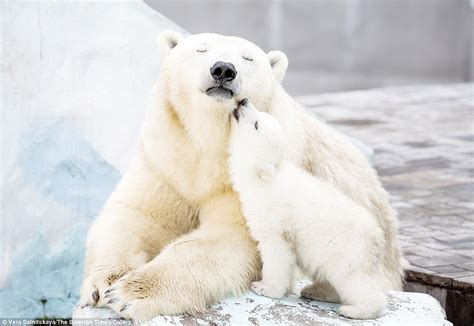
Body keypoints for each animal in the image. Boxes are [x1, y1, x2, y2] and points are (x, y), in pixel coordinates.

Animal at [78, 30, 404, 320]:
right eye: (201, 49)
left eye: (248, 58)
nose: (223, 69)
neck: (208, 146)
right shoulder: (165, 159)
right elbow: (137, 214)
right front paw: (105, 283)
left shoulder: (243, 184)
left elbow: (228, 238)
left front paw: (131, 293)